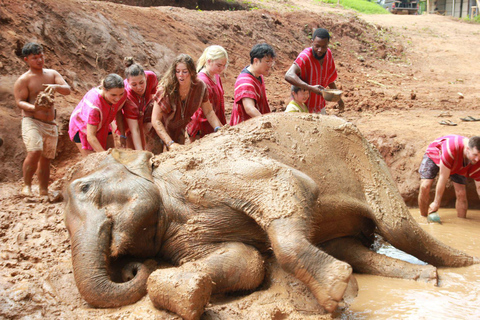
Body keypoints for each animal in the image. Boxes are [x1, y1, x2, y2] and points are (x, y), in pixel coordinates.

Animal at [64, 113, 480, 320]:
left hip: (369, 162)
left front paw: (338, 291)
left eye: (85, 188)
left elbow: (290, 183)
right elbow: (246, 261)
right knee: (350, 247)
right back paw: (424, 277)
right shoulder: (181, 234)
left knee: (399, 228)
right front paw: (187, 295)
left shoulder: (214, 173)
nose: (129, 268)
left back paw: (463, 265)